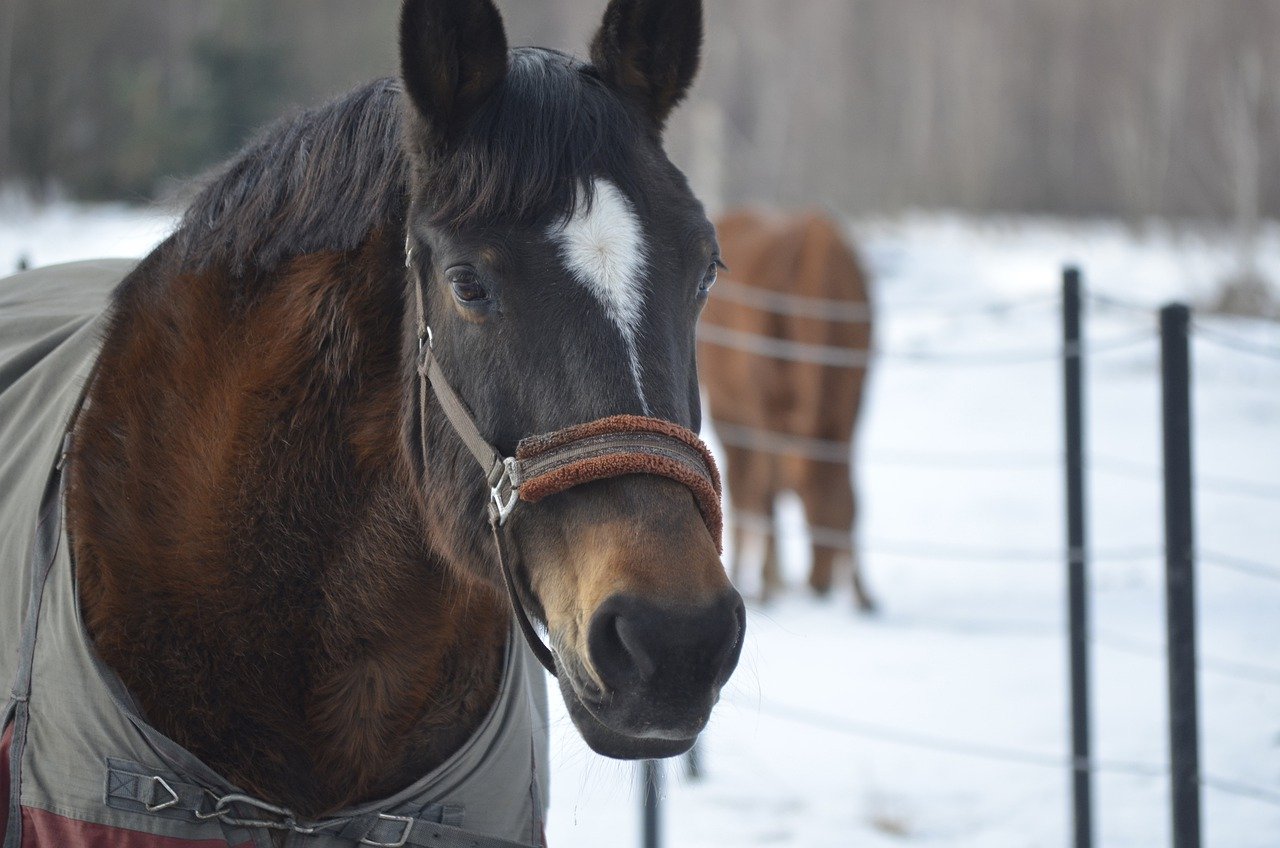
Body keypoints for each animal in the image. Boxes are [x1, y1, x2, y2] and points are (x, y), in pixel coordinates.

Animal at [696, 211, 875, 612]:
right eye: (803, 499)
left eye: (845, 515)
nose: (820, 584)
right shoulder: (765, 412)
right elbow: (767, 490)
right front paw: (764, 583)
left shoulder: (851, 409)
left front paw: (863, 593)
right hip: (731, 415)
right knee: (745, 489)